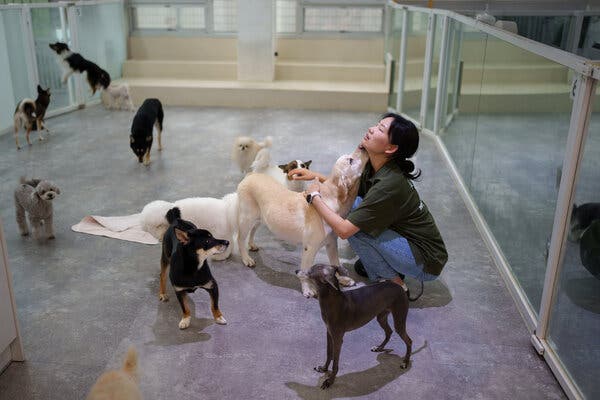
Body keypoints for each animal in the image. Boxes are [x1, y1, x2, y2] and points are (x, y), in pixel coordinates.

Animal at [237, 147, 368, 296]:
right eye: (350, 160)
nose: (363, 147)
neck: (331, 199)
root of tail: (250, 175)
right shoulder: (309, 248)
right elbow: (304, 272)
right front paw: (308, 289)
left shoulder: (332, 243)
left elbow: (336, 263)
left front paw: (344, 280)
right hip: (246, 218)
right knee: (240, 238)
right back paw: (246, 259)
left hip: (260, 217)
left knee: (252, 231)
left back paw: (252, 245)